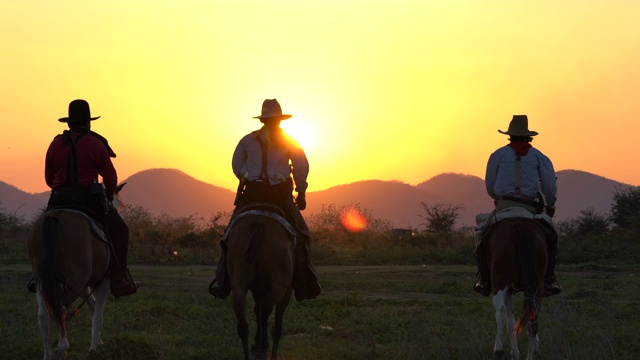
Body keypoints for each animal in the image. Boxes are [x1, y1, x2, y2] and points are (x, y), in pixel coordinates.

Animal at [27, 184, 126, 358]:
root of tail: (54, 217)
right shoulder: (103, 282)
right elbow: (98, 316)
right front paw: (93, 349)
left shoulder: (84, 285)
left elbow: (92, 307)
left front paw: (98, 342)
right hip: (74, 281)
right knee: (60, 307)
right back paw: (62, 347)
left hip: (42, 280)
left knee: (44, 315)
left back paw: (47, 354)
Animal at [226, 211, 296, 360]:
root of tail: (258, 225)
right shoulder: (286, 292)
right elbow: (276, 325)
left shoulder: (258, 290)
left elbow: (256, 309)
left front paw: (256, 343)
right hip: (278, 286)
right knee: (266, 311)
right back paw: (263, 346)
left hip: (238, 287)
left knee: (243, 325)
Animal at [488, 217, 548, 360]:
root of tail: (519, 227)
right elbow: (513, 321)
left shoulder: (507, 289)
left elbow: (510, 322)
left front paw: (514, 352)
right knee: (533, 315)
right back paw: (530, 354)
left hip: (499, 281)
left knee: (501, 309)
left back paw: (498, 349)